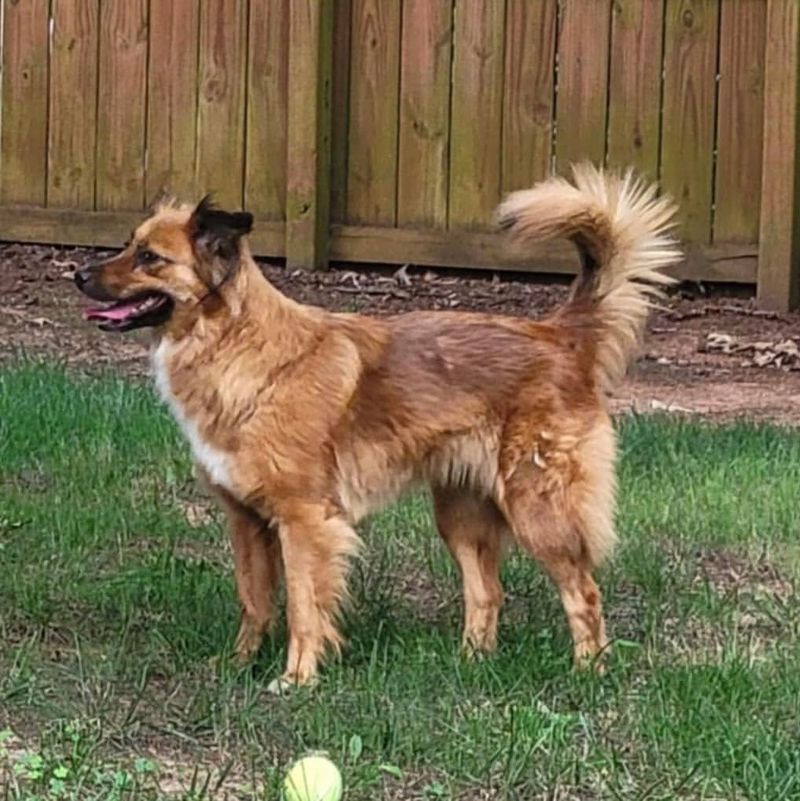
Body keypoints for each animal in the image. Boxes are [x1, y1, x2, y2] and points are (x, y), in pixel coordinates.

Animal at [75, 164, 680, 688]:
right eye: (129, 244)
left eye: (149, 257)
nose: (78, 274)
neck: (238, 348)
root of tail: (557, 335)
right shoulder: (244, 519)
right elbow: (254, 599)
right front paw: (238, 665)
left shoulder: (305, 520)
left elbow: (302, 605)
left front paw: (297, 679)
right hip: (461, 514)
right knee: (486, 591)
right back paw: (469, 665)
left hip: (538, 506)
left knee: (583, 590)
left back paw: (588, 672)